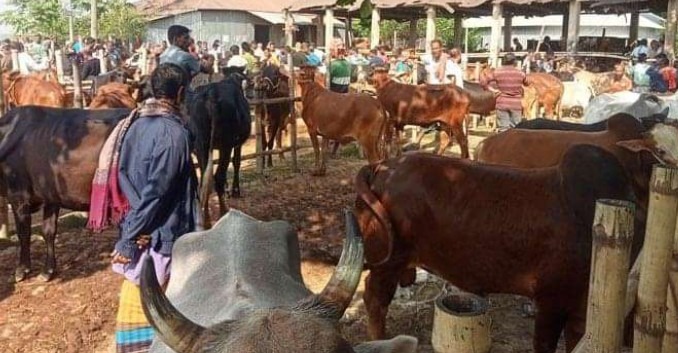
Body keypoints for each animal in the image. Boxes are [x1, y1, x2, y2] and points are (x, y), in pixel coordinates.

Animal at [0, 104, 133, 280]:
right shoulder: (51, 196)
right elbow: (48, 231)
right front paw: (48, 271)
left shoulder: (18, 195)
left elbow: (24, 232)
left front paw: (22, 269)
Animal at [354, 144, 652, 352]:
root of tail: (381, 166)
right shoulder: (551, 301)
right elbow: (544, 345)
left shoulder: (581, 312)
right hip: (388, 262)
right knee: (375, 299)